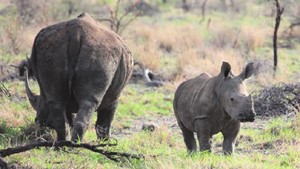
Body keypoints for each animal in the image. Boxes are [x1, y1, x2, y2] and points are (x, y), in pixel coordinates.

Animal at [25, 12, 133, 141]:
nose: (37, 121)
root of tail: (76, 34)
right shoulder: (114, 99)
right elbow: (104, 123)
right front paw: (105, 142)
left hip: (51, 51)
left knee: (57, 103)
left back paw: (63, 144)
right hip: (100, 54)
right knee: (89, 103)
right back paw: (75, 144)